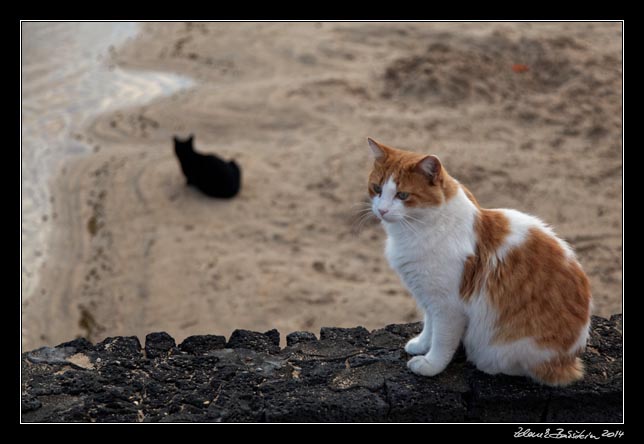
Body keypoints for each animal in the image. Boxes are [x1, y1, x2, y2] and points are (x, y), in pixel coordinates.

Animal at [370, 138, 592, 386]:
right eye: (377, 189)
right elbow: (429, 326)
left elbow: (442, 341)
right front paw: (421, 344)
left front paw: (430, 364)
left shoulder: (448, 307)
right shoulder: (428, 297)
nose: (382, 210)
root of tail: (570, 360)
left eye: (402, 195)